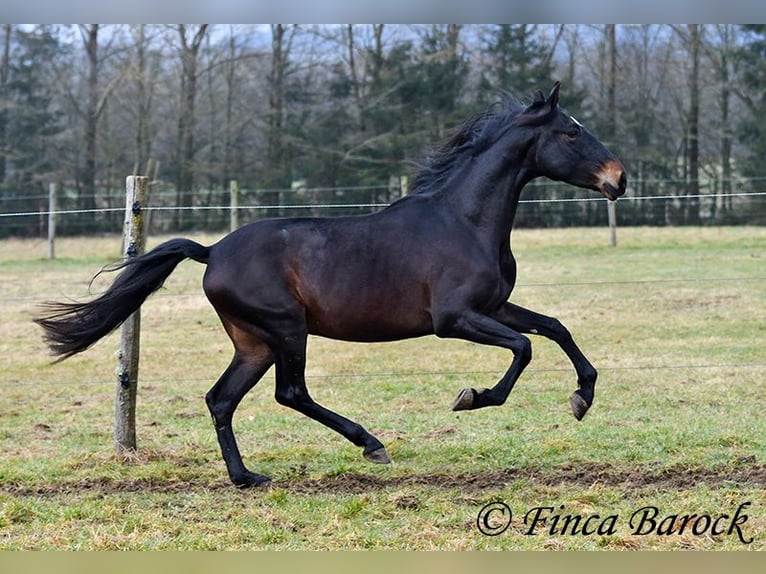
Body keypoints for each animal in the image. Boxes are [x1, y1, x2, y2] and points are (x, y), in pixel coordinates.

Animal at [36, 84, 628, 490]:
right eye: (570, 132)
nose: (618, 179)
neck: (463, 220)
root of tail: (212, 252)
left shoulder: (496, 306)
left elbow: (554, 328)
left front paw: (582, 398)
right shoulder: (454, 319)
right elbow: (525, 347)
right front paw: (472, 399)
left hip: (253, 342)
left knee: (222, 398)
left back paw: (247, 477)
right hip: (286, 329)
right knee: (290, 392)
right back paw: (370, 444)